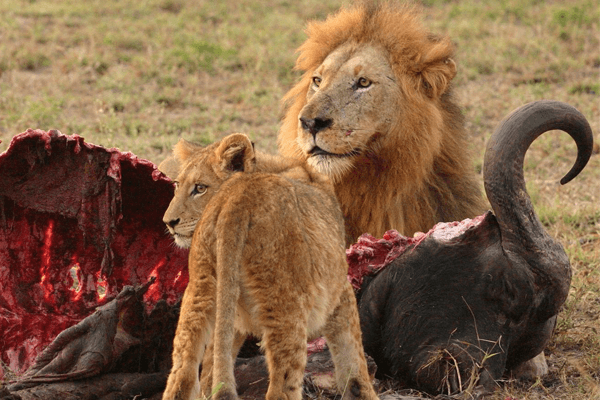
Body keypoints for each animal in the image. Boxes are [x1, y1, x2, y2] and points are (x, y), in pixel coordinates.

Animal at [159, 134, 376, 400]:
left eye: (199, 188)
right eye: (178, 185)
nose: (168, 222)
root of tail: (238, 198)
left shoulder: (233, 314)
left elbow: (213, 364)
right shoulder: (339, 290)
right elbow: (352, 355)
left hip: (201, 290)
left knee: (182, 374)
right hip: (286, 305)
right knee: (282, 388)